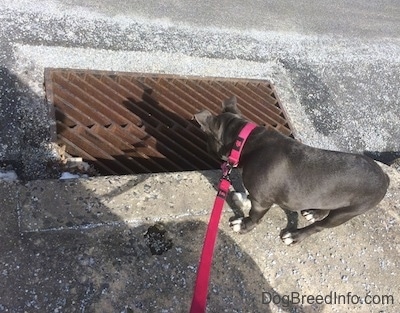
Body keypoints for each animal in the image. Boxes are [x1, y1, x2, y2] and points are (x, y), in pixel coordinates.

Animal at [195, 95, 390, 244]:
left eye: (206, 138)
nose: (205, 147)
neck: (245, 141)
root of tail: (385, 177)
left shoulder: (262, 201)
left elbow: (254, 215)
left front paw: (244, 225)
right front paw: (243, 199)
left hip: (349, 211)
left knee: (320, 226)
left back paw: (295, 236)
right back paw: (314, 212)